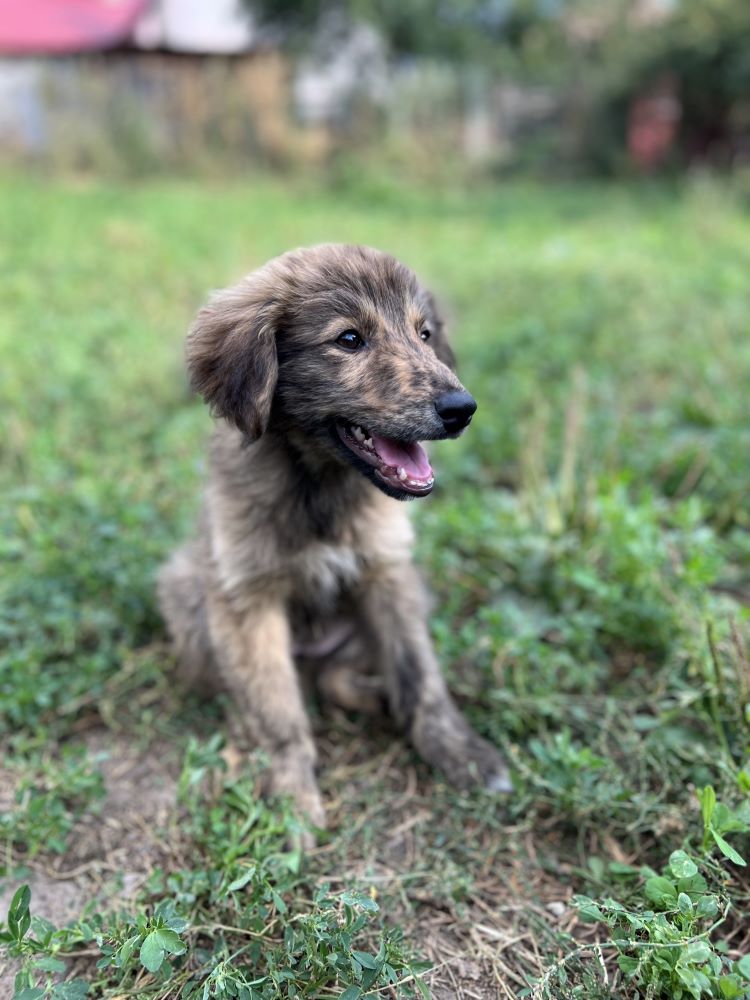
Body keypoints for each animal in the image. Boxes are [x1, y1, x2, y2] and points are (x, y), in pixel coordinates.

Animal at [159, 242, 512, 836]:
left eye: (423, 334)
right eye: (349, 339)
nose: (461, 409)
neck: (318, 484)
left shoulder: (387, 573)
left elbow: (421, 676)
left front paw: (460, 753)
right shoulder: (247, 597)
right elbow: (277, 709)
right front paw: (290, 797)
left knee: (332, 677)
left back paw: (376, 694)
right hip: (187, 594)